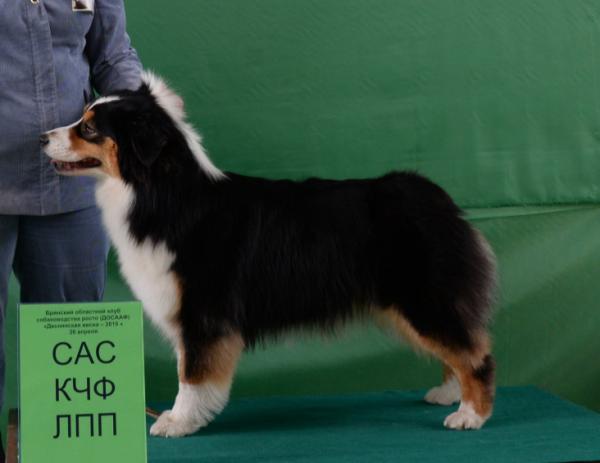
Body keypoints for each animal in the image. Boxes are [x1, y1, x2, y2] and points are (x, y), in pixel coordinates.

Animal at [41, 72, 497, 438]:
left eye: (89, 128)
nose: (41, 138)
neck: (162, 195)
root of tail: (437, 198)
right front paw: (179, 418)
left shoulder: (203, 312)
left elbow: (191, 373)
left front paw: (177, 422)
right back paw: (447, 394)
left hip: (424, 297)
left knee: (476, 352)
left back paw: (470, 415)